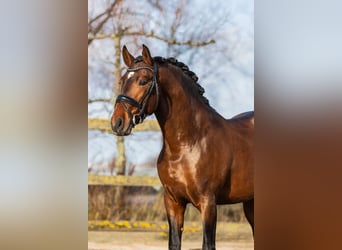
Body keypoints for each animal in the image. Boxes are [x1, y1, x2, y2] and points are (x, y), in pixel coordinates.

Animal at [111, 45, 252, 250]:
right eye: (122, 81)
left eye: (143, 81)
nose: (117, 122)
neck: (189, 144)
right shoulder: (173, 202)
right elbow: (174, 243)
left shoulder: (208, 203)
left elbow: (208, 244)